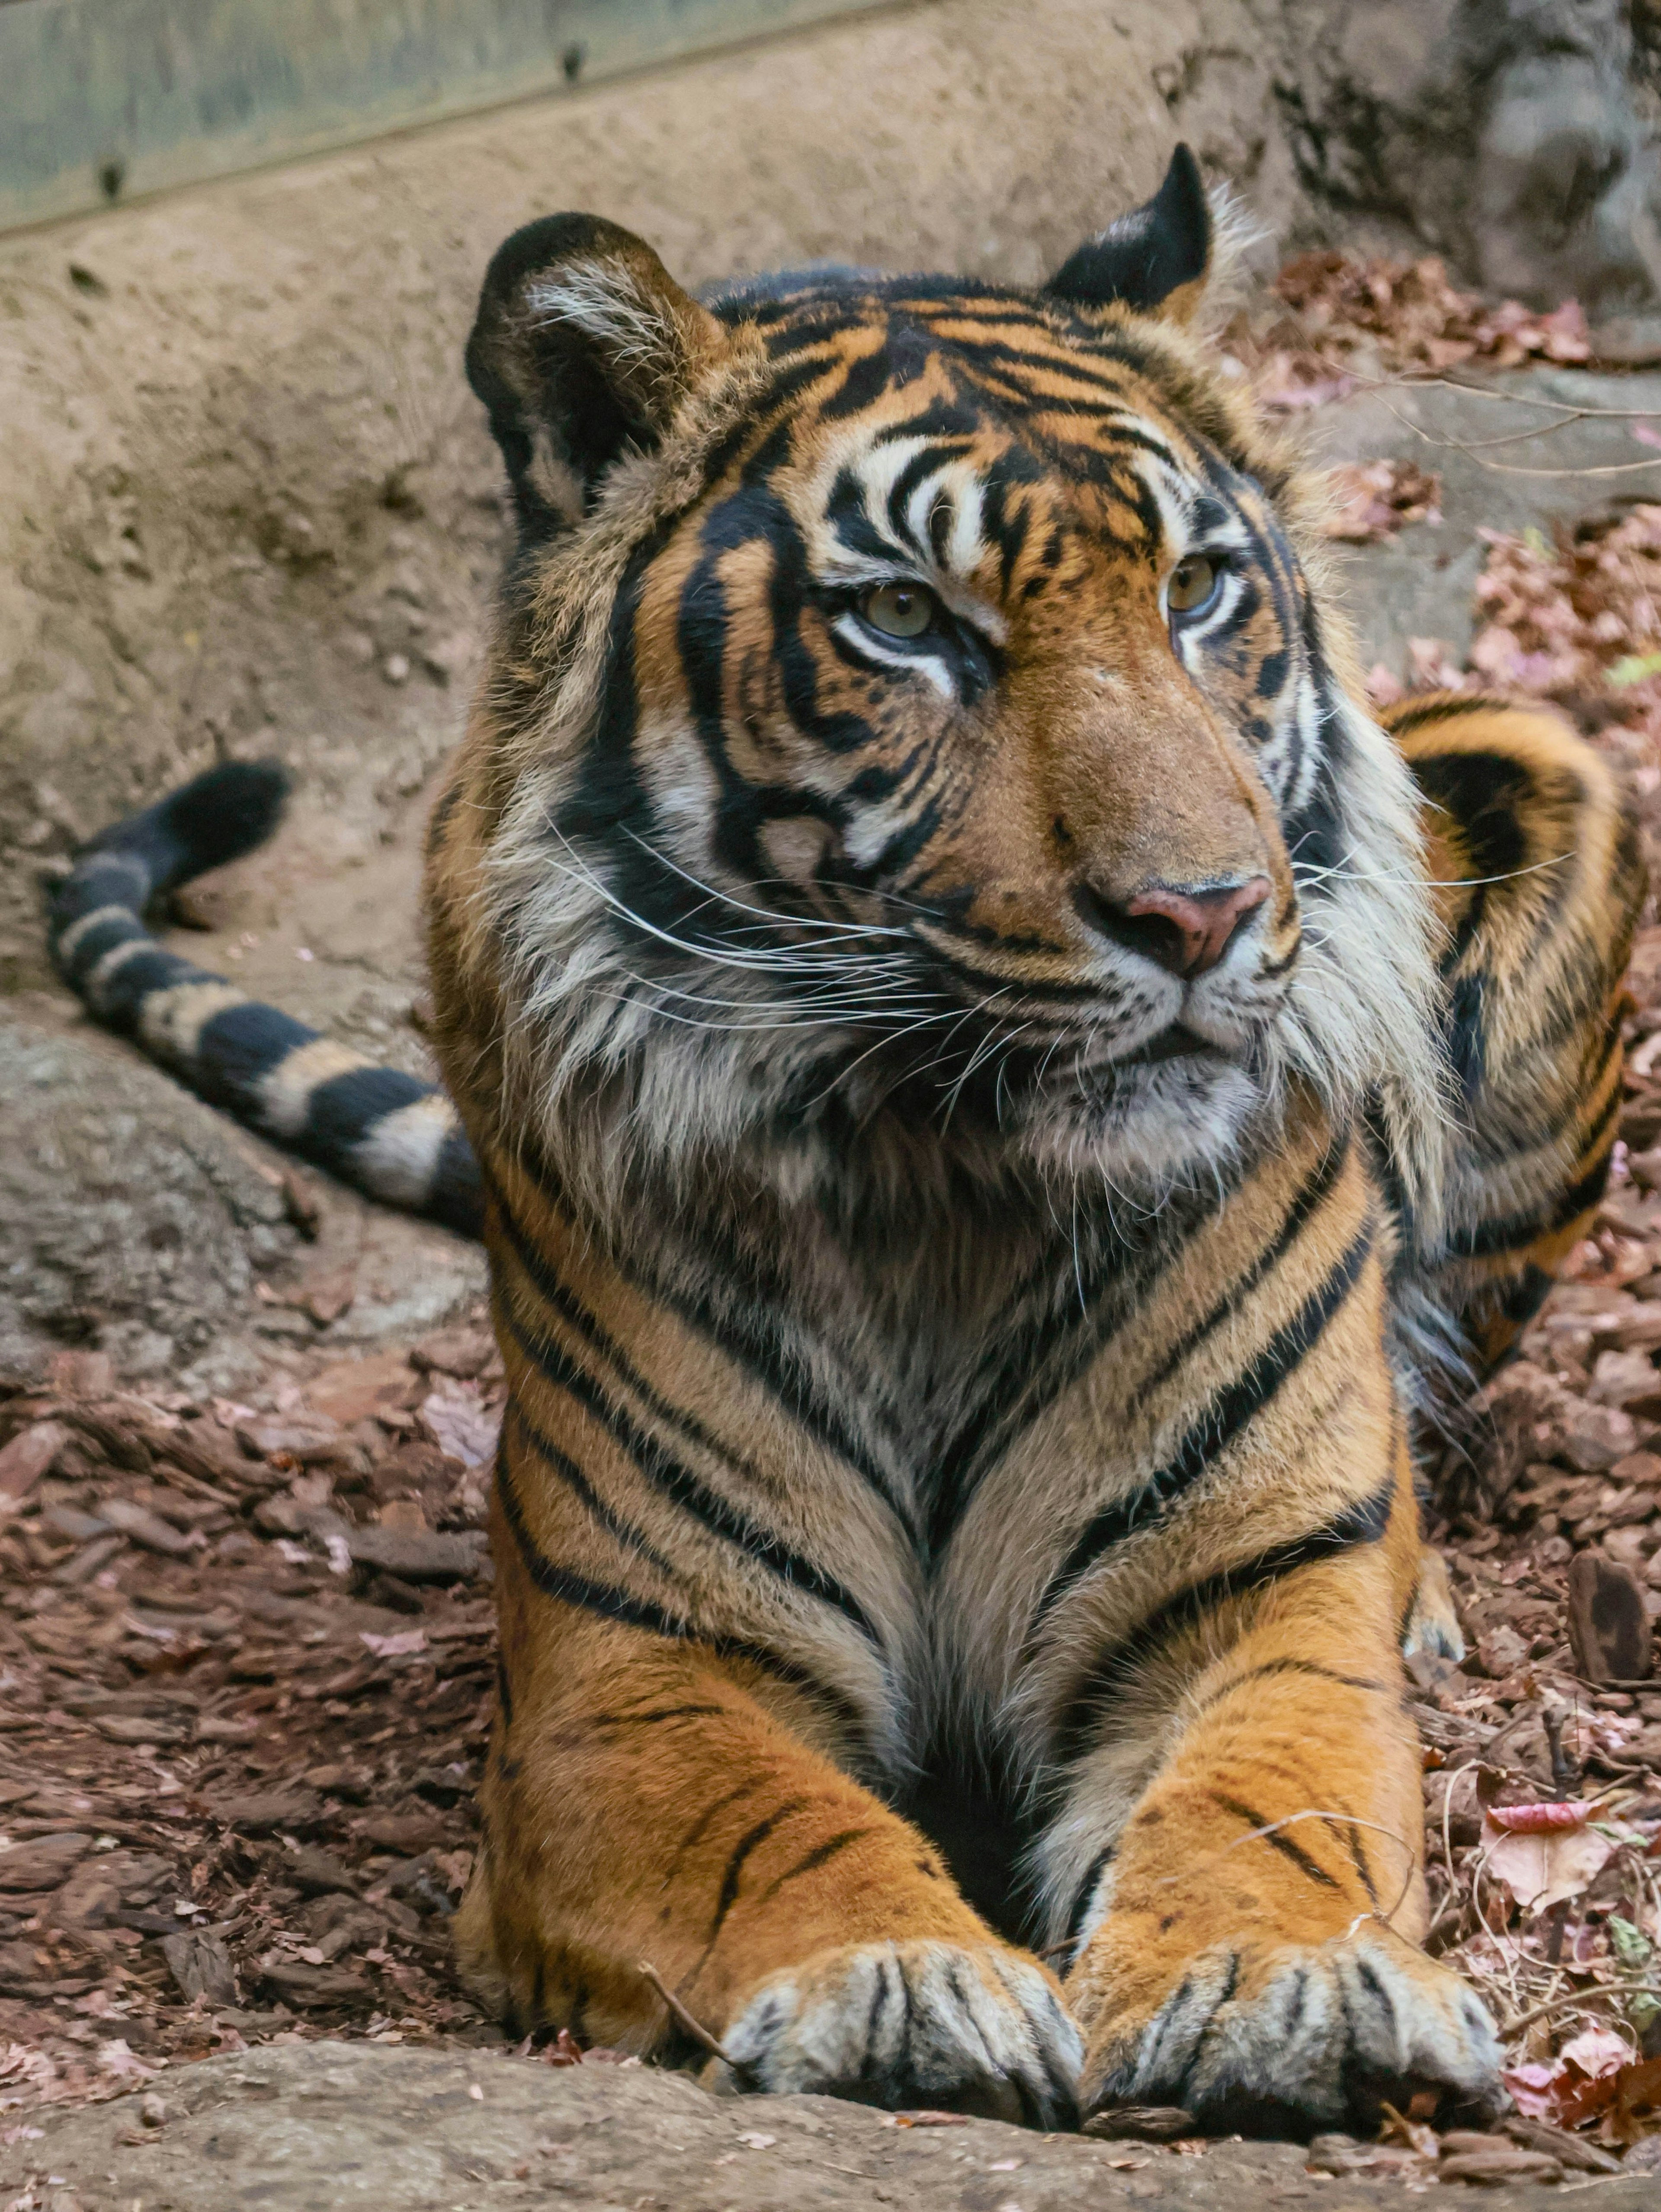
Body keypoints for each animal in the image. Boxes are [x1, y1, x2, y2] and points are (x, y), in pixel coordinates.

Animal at [45, 142, 1645, 2141]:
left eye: (1199, 590)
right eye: (906, 620)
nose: (1201, 916)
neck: (950, 1184)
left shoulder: (1251, 1600)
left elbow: (1265, 1801)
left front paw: (1283, 1983)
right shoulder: (637, 1664)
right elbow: (766, 1830)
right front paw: (897, 1980)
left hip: (1542, 760)